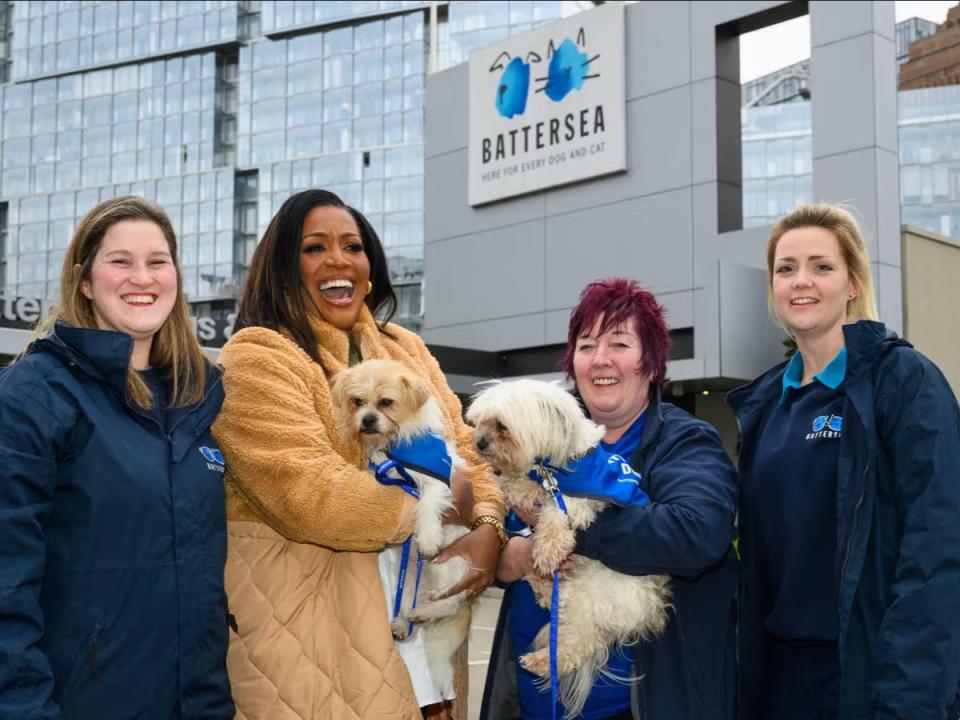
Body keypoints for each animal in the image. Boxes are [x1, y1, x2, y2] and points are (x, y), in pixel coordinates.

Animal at [332, 360, 474, 696]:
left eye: (386, 403)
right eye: (358, 402)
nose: (367, 420)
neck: (396, 449)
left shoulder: (437, 483)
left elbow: (427, 506)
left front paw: (428, 537)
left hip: (451, 567)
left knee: (448, 603)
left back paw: (424, 612)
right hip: (408, 576)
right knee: (413, 600)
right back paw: (401, 622)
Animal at [464, 380, 668, 716]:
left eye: (502, 426)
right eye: (480, 422)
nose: (478, 443)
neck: (553, 464)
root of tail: (648, 609)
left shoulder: (581, 499)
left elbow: (553, 509)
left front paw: (547, 546)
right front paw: (510, 486)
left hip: (589, 599)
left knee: (578, 643)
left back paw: (542, 661)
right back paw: (542, 585)